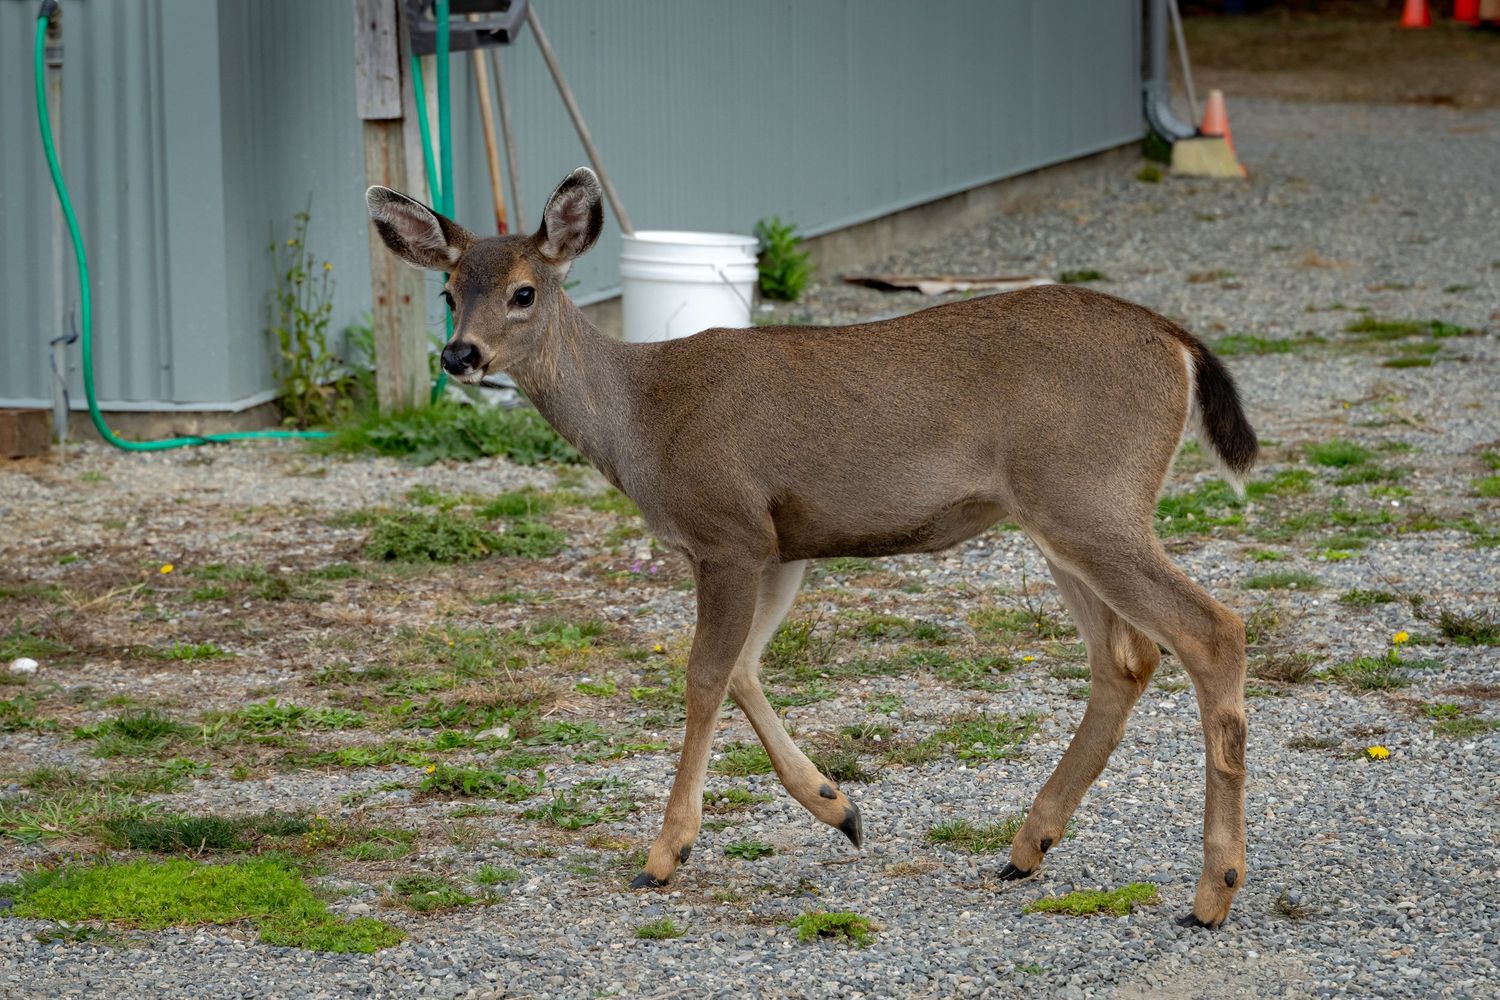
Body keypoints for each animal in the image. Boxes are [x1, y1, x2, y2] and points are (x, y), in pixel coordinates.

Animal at [366, 167, 1258, 929]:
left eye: (523, 291)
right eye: (448, 290)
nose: (459, 355)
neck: (642, 419)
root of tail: (1177, 342)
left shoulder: (726, 530)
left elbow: (703, 678)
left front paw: (665, 853)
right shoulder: (781, 545)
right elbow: (744, 670)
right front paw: (839, 807)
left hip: (1090, 496)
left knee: (1211, 630)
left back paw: (1212, 891)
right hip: (1055, 515)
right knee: (1127, 656)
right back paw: (1027, 848)